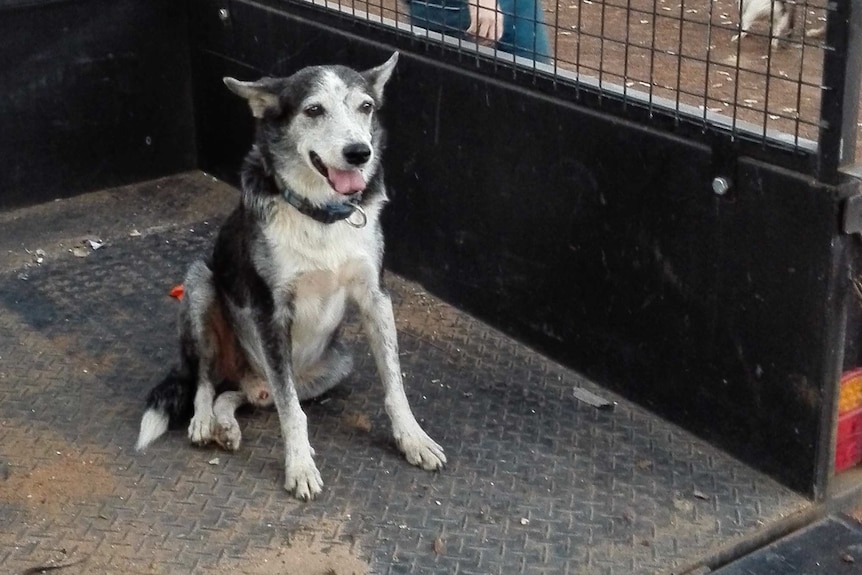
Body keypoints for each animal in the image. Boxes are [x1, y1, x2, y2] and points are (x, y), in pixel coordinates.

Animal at [137, 55, 446, 504]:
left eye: (366, 107)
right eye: (313, 110)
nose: (359, 153)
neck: (320, 214)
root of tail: (250, 378)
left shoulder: (375, 296)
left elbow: (394, 384)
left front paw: (413, 439)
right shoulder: (271, 311)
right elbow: (291, 411)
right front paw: (300, 467)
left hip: (335, 366)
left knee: (244, 395)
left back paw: (227, 425)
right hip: (200, 285)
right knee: (209, 380)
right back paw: (204, 420)